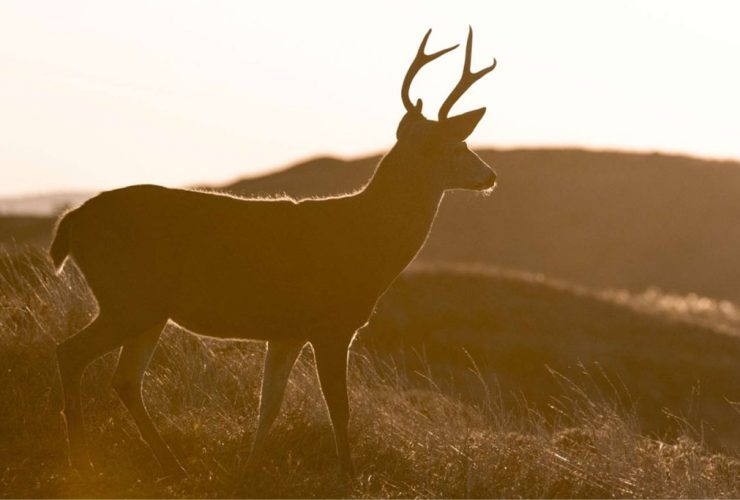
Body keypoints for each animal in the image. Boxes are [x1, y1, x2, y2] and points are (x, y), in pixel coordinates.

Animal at [49, 27, 497, 478]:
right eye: (457, 146)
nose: (490, 175)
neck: (367, 239)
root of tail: (72, 220)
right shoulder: (330, 324)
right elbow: (339, 408)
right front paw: (347, 477)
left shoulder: (287, 332)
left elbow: (269, 405)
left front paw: (248, 471)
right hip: (128, 299)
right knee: (70, 353)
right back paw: (82, 462)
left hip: (147, 309)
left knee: (124, 378)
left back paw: (172, 466)